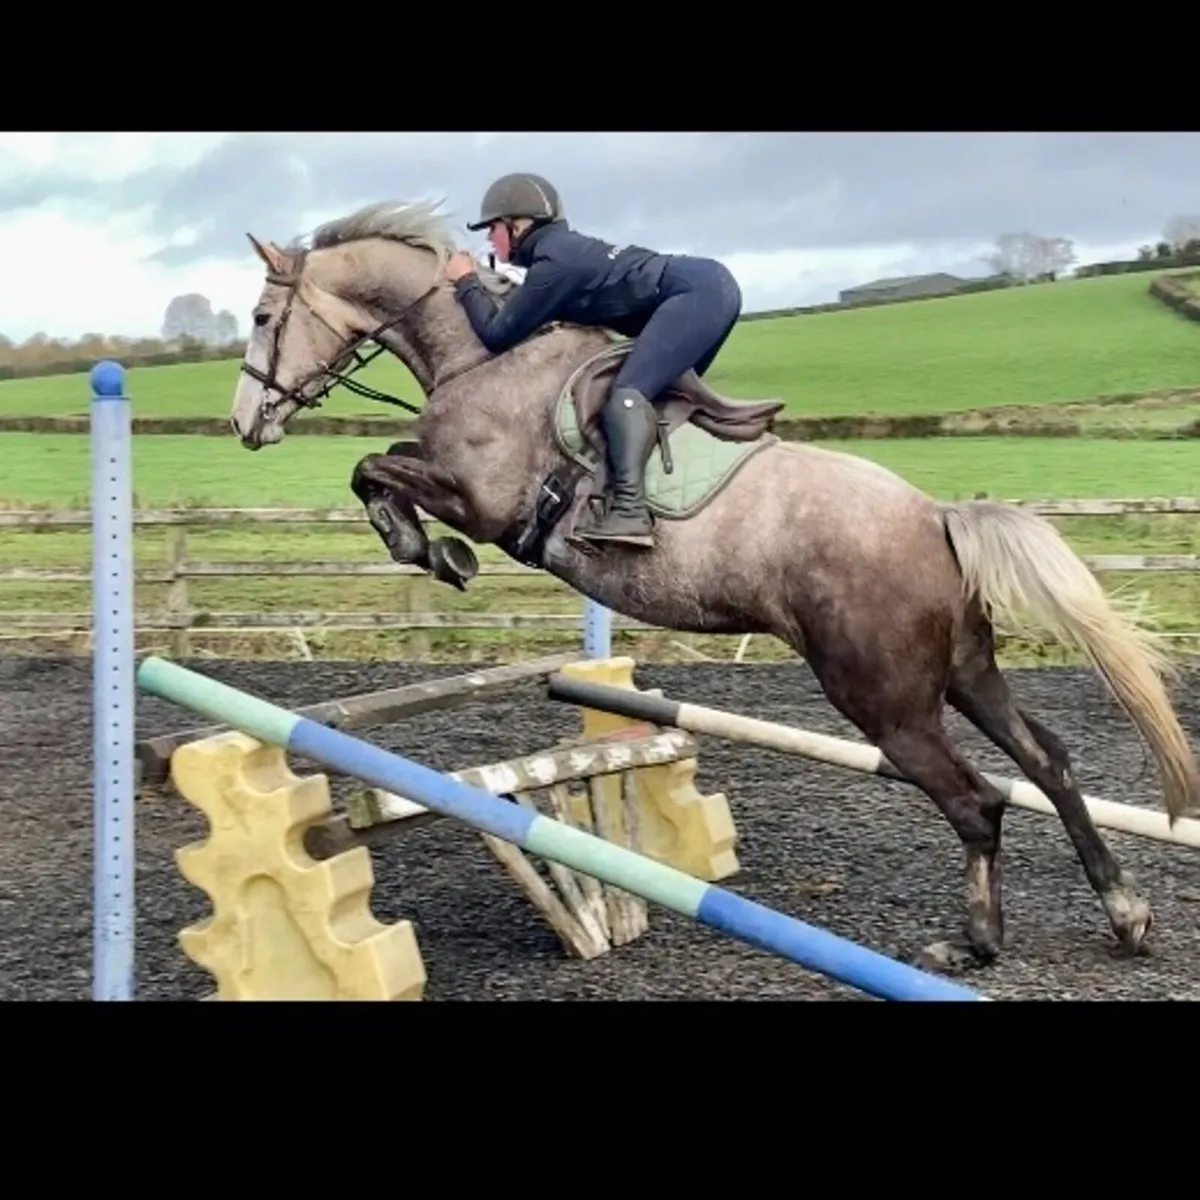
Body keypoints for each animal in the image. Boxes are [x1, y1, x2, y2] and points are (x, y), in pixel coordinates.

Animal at [229, 197, 1200, 971]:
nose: (244, 424)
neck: (480, 355)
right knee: (1047, 761)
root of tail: (935, 518)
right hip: (965, 671)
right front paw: (427, 550)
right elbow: (379, 465)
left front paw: (433, 554)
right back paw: (1125, 912)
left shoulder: (485, 501)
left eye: (263, 313)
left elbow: (373, 470)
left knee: (979, 801)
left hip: (883, 697)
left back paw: (976, 943)